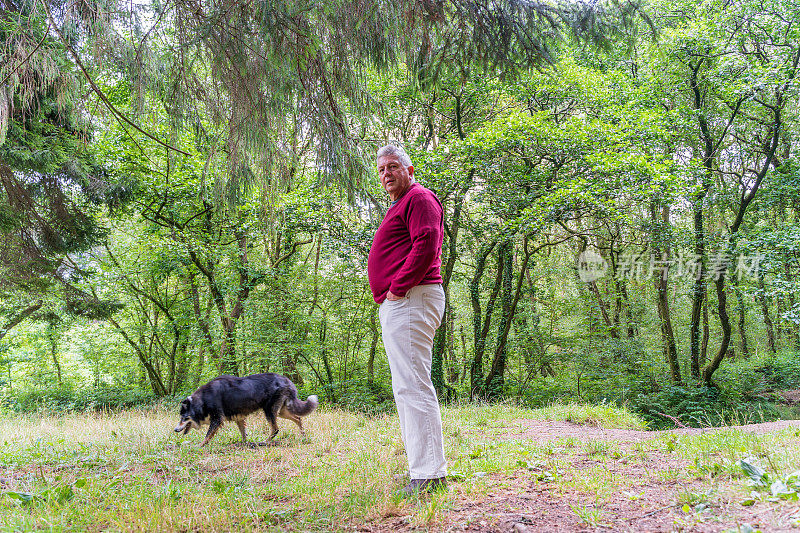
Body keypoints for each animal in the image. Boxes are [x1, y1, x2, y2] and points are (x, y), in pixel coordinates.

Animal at [173, 372, 318, 446]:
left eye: (184, 418)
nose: (175, 430)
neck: (203, 400)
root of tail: (287, 380)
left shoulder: (217, 419)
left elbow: (207, 435)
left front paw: (200, 446)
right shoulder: (239, 417)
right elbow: (243, 433)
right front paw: (244, 444)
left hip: (269, 410)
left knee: (275, 429)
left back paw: (264, 442)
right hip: (282, 411)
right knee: (298, 418)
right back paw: (303, 436)